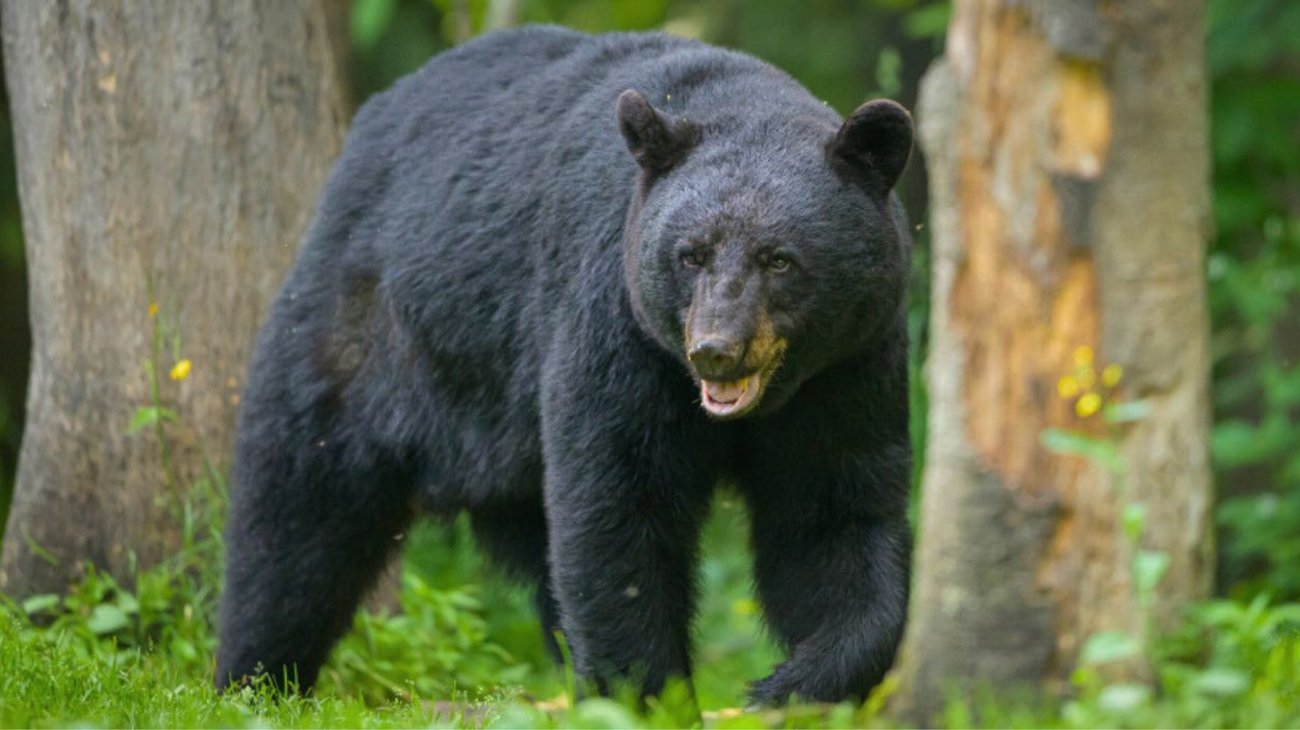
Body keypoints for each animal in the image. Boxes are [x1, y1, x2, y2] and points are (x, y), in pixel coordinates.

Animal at [215, 25, 914, 705]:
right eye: (691, 254)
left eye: (779, 259)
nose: (716, 349)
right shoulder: (616, 325)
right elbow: (617, 507)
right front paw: (648, 696)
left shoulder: (848, 367)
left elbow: (833, 515)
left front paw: (795, 684)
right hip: (367, 334)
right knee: (298, 512)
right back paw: (256, 679)